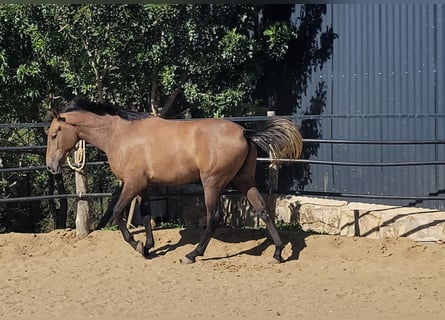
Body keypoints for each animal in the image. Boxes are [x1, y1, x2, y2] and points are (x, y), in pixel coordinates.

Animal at [46, 99, 302, 262]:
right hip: (244, 181)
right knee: (263, 210)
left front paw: (137, 245)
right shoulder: (144, 186)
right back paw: (278, 253)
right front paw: (148, 248)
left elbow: (119, 213)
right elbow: (146, 215)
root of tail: (245, 133)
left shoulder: (132, 183)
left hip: (212, 183)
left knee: (214, 217)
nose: (50, 166)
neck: (120, 135)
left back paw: (192, 255)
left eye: (54, 134)